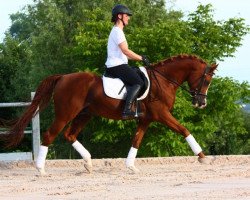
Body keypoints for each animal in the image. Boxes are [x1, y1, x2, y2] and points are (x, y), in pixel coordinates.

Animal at [3, 55, 217, 175]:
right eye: (206, 80)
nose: (201, 103)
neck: (163, 80)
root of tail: (63, 77)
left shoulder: (146, 119)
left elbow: (136, 141)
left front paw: (131, 166)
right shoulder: (162, 114)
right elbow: (184, 130)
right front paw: (202, 157)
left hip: (85, 114)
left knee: (69, 135)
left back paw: (88, 164)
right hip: (66, 114)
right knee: (50, 135)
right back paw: (41, 170)